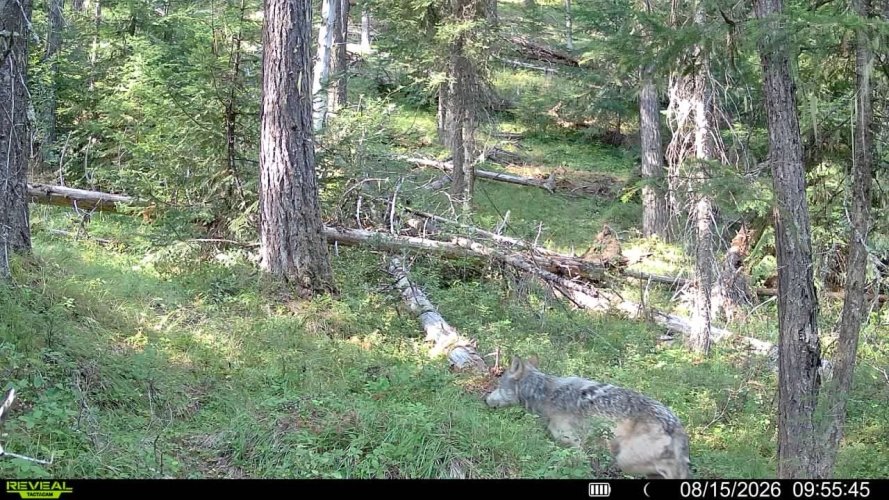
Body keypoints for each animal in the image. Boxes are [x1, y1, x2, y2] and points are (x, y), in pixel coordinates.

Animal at [485, 355, 691, 479]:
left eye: (499, 385)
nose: (485, 400)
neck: (544, 393)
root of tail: (675, 424)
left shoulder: (573, 444)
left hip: (625, 460)